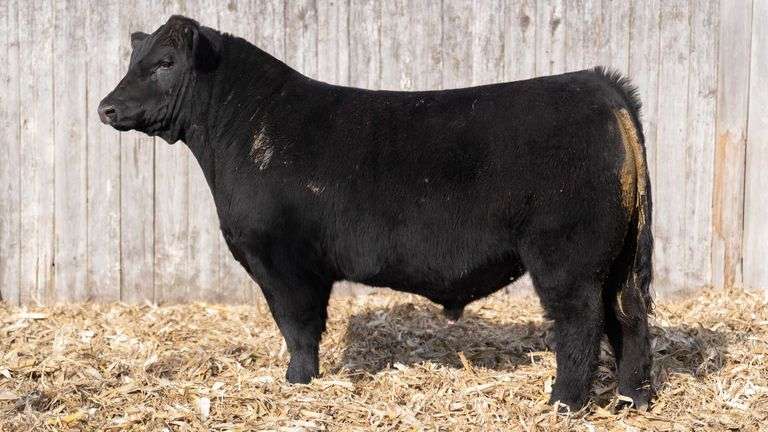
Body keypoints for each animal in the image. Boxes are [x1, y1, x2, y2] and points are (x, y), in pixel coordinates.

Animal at [99, 15, 654, 410]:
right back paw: (632, 398)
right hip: (618, 259)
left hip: (568, 257)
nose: (106, 107)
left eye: (165, 61)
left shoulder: (284, 261)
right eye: (133, 58)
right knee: (629, 317)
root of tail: (599, 85)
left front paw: (297, 383)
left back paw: (564, 403)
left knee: (582, 320)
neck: (244, 126)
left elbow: (298, 327)